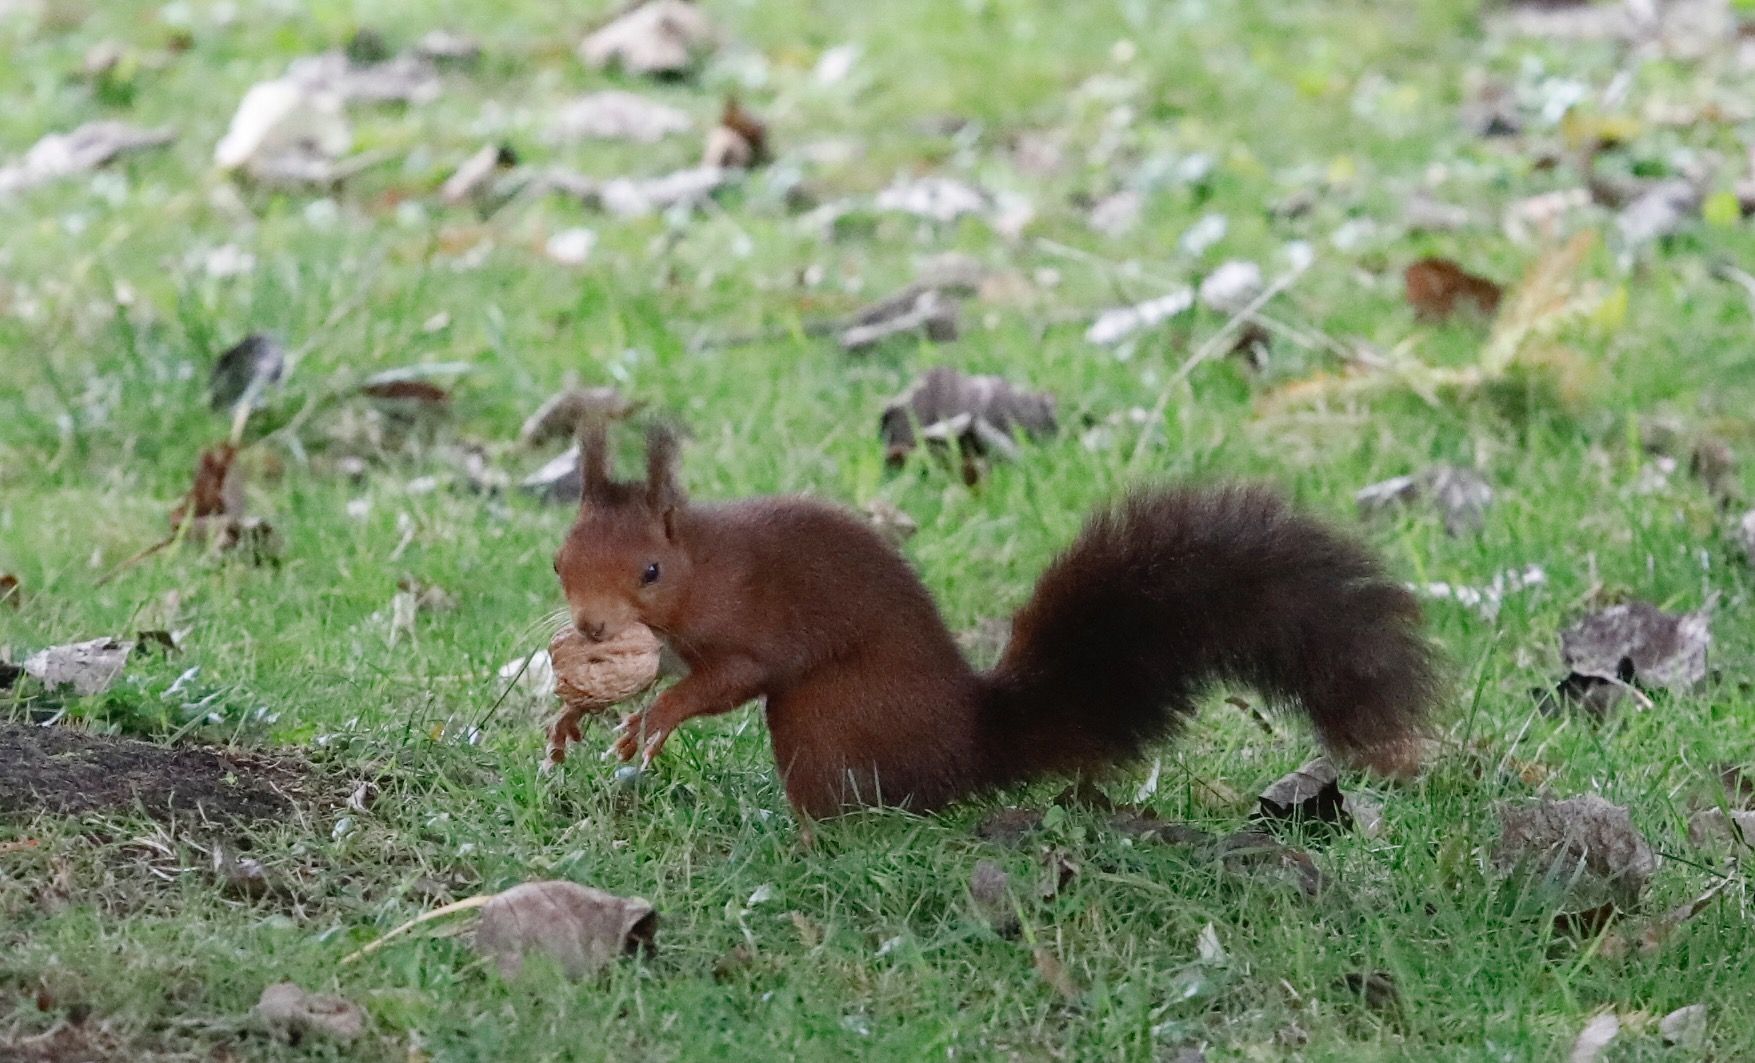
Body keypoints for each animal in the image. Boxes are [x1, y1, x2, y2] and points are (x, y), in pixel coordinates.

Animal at [558, 426, 1439, 824]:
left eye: (649, 571)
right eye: (561, 560)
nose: (593, 627)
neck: (703, 565)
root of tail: (970, 747)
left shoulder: (750, 623)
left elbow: (729, 677)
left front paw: (652, 721)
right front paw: (573, 716)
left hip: (828, 720)